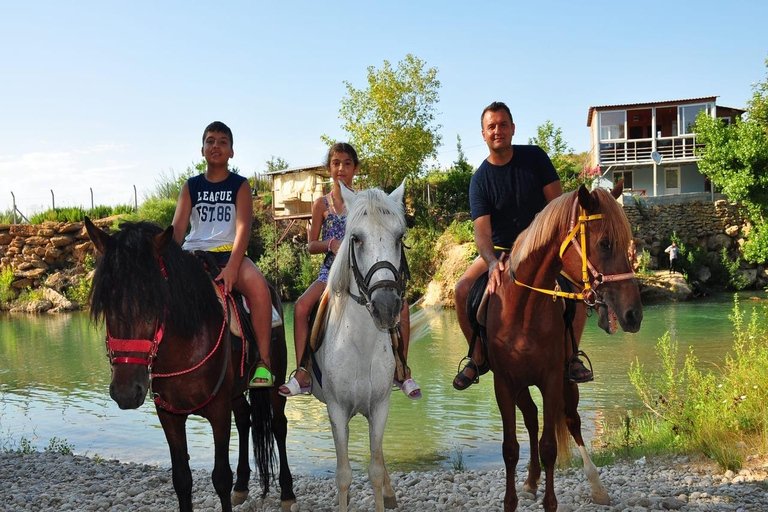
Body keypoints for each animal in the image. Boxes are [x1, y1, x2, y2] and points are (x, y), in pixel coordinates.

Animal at [85, 219, 296, 512]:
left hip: (275, 380)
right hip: (235, 391)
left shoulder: (218, 410)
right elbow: (182, 479)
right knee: (245, 418)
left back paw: (287, 492)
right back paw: (242, 486)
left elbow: (221, 477)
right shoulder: (169, 414)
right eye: (106, 302)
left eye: (154, 300)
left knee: (278, 425)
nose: (125, 392)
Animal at [310, 182, 412, 510]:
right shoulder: (337, 411)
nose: (386, 306)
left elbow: (376, 469)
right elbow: (343, 475)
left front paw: (385, 493)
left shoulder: (380, 407)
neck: (359, 346)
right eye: (356, 238)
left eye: (399, 237)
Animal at [486, 185, 640, 512]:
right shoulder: (504, 383)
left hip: (568, 383)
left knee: (572, 422)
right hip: (522, 386)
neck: (523, 311)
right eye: (605, 243)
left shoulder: (553, 380)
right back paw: (530, 483)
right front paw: (511, 501)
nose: (634, 314)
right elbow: (510, 448)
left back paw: (596, 487)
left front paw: (550, 502)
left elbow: (549, 446)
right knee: (532, 418)